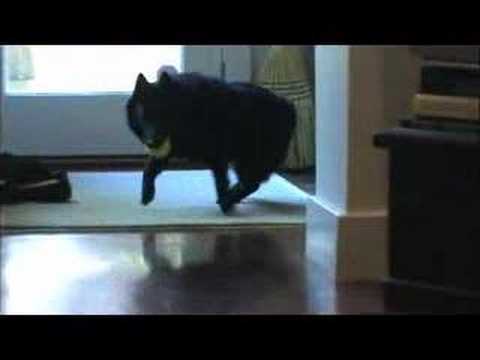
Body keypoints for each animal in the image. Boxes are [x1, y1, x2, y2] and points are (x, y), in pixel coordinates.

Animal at [125, 71, 294, 214]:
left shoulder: (217, 155)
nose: (151, 141)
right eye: (142, 113)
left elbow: (220, 182)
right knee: (249, 183)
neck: (186, 109)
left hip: (251, 159)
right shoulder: (169, 149)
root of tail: (288, 105)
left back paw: (229, 200)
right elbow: (149, 168)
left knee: (251, 183)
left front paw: (225, 204)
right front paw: (147, 194)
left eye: (162, 112)